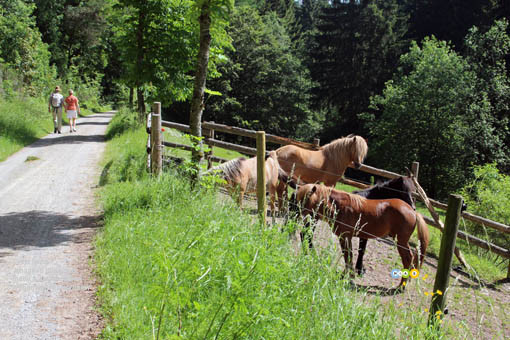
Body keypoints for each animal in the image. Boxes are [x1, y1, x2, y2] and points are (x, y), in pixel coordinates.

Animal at [296, 183, 428, 286]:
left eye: (305, 198)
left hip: (401, 242)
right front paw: (348, 275)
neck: (340, 206)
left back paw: (401, 286)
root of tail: (413, 212)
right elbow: (349, 256)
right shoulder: (347, 237)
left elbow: (348, 256)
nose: (296, 213)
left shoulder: (345, 237)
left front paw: (346, 276)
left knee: (408, 259)